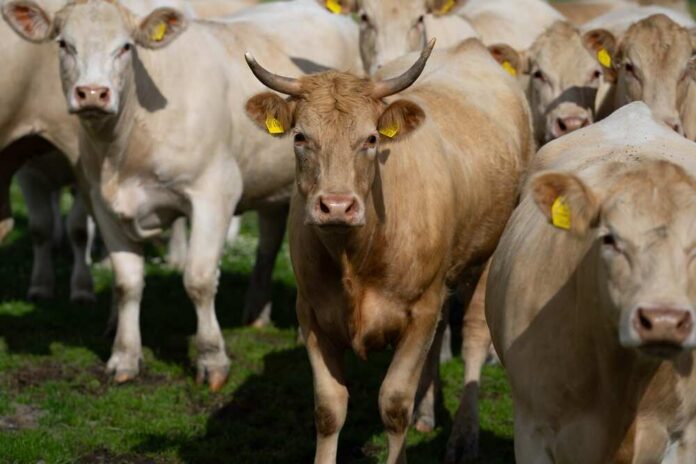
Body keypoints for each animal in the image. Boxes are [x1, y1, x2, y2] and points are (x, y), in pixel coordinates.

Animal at [1, 0, 361, 389]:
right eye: (64, 44)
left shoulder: (214, 192)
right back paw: (256, 310)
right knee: (269, 238)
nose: (93, 93)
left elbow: (198, 280)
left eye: (125, 47)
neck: (127, 143)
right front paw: (124, 357)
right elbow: (127, 284)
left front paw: (211, 360)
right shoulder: (102, 202)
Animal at [244, 35, 533, 462]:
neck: (355, 257)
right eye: (300, 138)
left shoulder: (419, 313)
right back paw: (427, 413)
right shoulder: (311, 314)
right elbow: (329, 409)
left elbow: (394, 405)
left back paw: (463, 437)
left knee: (474, 337)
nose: (336, 206)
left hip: (487, 256)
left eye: (371, 138)